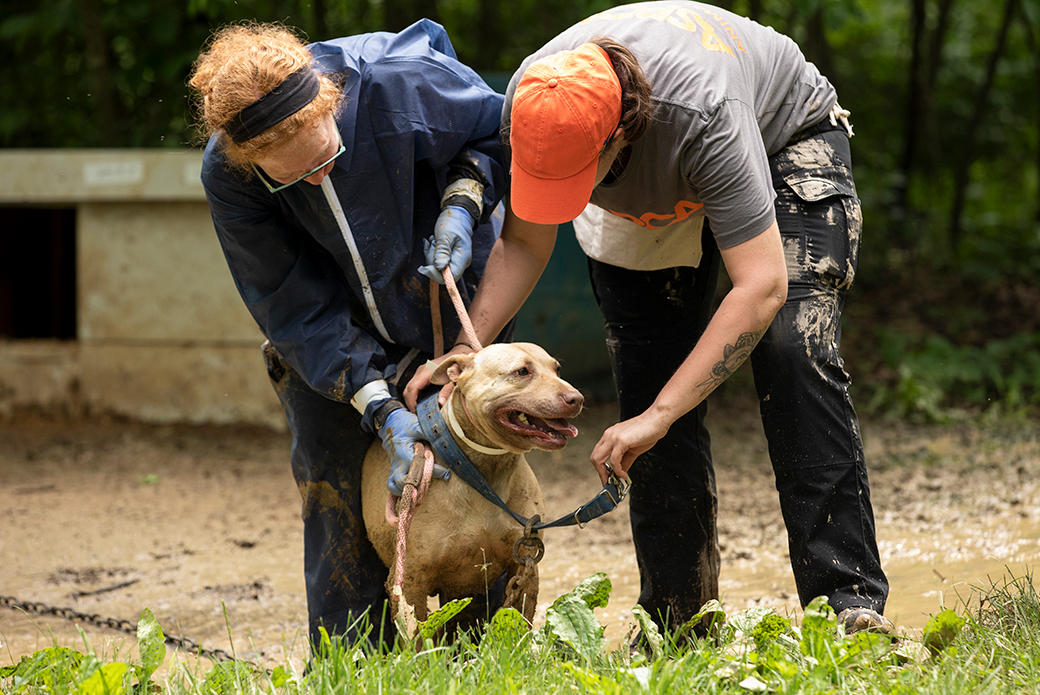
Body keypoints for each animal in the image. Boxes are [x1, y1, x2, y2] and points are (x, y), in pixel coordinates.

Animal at [359, 343, 586, 628]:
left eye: (557, 369)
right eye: (522, 371)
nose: (577, 398)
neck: (480, 473)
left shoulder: (525, 568)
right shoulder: (409, 583)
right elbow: (419, 636)